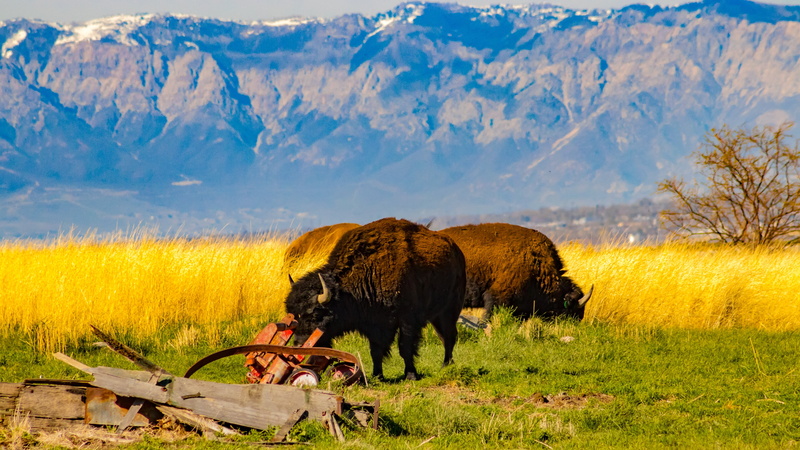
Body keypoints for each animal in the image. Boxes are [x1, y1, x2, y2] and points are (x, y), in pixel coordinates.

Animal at [284, 218, 466, 381]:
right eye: (295, 314)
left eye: (315, 314)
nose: (299, 344)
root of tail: (456, 250)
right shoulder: (374, 324)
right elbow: (376, 351)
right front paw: (378, 375)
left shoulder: (407, 319)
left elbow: (405, 347)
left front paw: (411, 375)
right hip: (437, 316)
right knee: (444, 336)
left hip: (450, 310)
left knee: (449, 336)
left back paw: (446, 365)